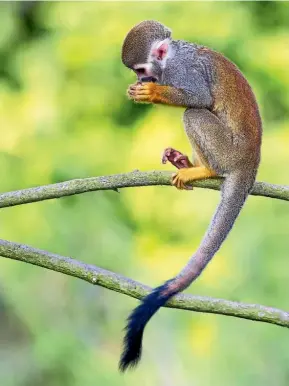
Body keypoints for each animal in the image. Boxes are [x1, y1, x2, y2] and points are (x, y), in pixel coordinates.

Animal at [118, 20, 260, 370]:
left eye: (141, 69)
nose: (140, 81)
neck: (170, 59)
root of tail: (251, 162)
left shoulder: (183, 71)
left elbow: (199, 96)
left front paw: (153, 94)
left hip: (227, 151)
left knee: (192, 112)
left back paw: (205, 170)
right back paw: (187, 163)